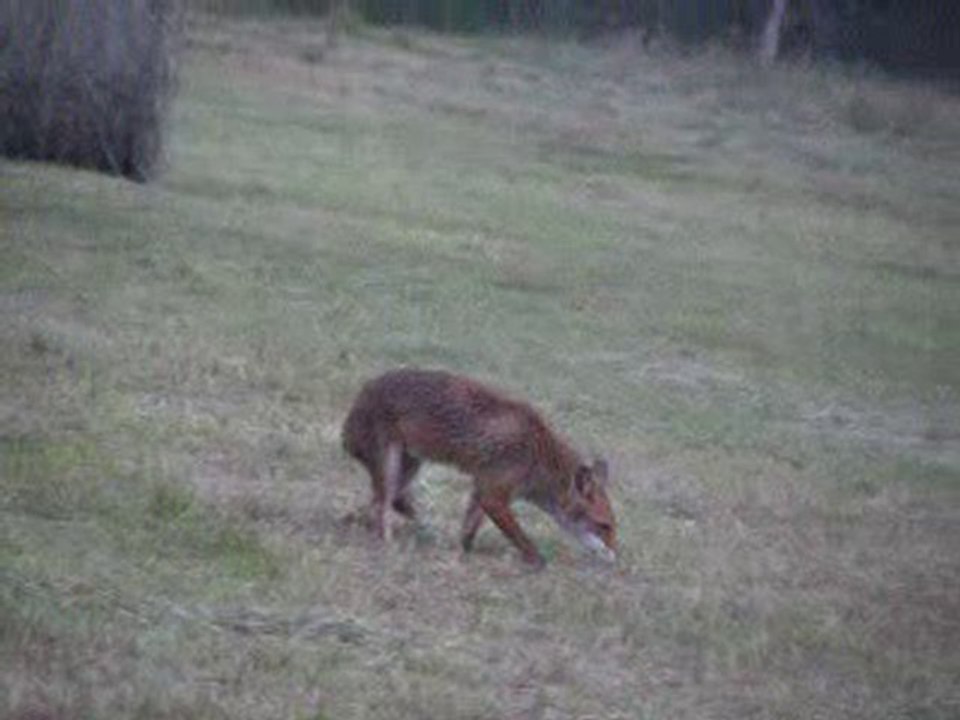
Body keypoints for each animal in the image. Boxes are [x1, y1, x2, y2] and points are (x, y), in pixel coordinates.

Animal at [341, 368, 616, 568]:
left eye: (614, 526)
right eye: (604, 526)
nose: (616, 558)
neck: (537, 457)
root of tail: (363, 391)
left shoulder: (483, 488)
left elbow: (469, 529)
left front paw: (463, 552)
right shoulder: (493, 495)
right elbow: (522, 540)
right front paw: (538, 562)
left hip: (410, 466)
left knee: (388, 502)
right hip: (391, 466)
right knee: (383, 507)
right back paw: (386, 541)